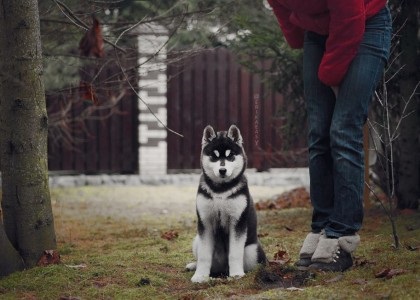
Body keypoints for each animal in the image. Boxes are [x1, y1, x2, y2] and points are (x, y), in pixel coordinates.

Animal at [186, 125, 266, 284]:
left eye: (230, 156)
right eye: (214, 156)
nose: (222, 170)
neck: (221, 190)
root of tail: (222, 269)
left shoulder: (237, 221)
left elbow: (235, 253)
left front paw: (236, 274)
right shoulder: (205, 221)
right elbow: (204, 255)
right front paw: (200, 276)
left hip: (252, 250)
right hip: (196, 240)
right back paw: (194, 265)